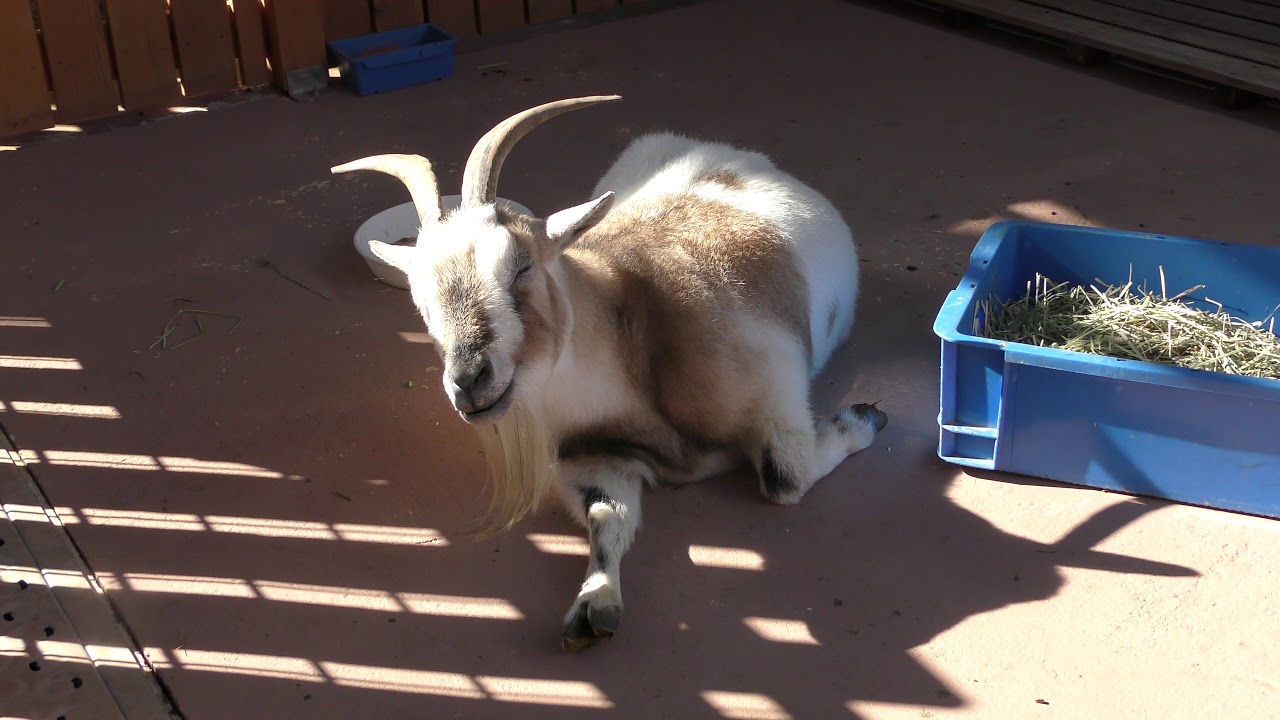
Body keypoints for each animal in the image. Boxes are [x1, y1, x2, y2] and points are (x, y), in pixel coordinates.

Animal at [331, 96, 887, 652]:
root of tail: (725, 153)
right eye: (417, 295)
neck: (633, 332)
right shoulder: (592, 457)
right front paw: (594, 604)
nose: (469, 380)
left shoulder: (776, 395)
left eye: (521, 266)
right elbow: (607, 516)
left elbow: (786, 478)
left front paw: (863, 418)